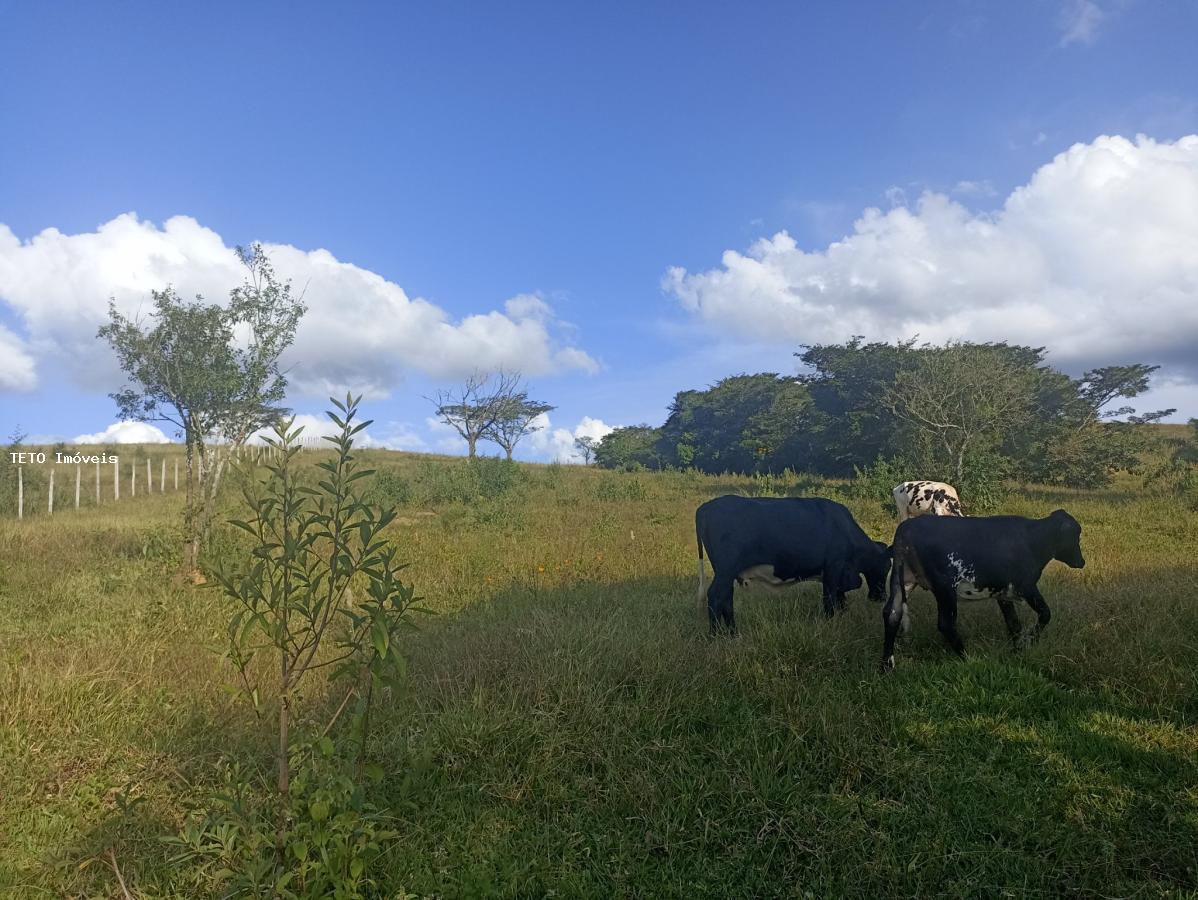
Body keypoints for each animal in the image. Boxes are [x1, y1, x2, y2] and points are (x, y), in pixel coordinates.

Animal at [694, 493, 891, 632]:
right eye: (887, 567)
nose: (880, 597)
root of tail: (706, 507)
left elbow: (840, 599)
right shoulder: (833, 568)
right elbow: (830, 601)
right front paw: (831, 623)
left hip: (726, 573)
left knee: (726, 598)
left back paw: (733, 633)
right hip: (725, 571)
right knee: (715, 596)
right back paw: (715, 635)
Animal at [881, 508, 1087, 671]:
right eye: (1075, 536)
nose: (1082, 562)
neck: (1032, 541)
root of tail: (908, 527)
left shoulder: (1004, 593)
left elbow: (1014, 624)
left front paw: (1018, 649)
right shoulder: (1027, 586)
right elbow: (1045, 613)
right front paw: (1031, 640)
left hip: (903, 580)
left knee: (893, 613)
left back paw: (887, 665)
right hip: (945, 588)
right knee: (945, 623)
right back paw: (966, 657)